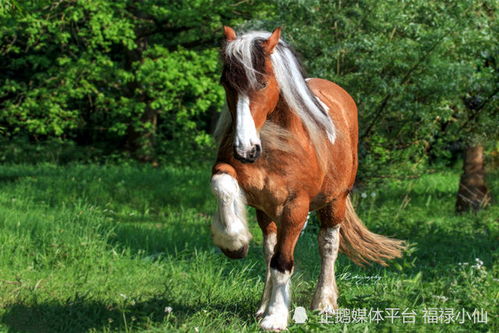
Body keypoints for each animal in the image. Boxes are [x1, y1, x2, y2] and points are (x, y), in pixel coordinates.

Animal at [211, 27, 406, 330]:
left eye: (263, 83)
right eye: (226, 83)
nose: (245, 150)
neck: (277, 145)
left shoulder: (296, 205)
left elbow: (283, 261)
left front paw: (276, 318)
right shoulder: (244, 185)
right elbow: (222, 185)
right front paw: (234, 243)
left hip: (336, 201)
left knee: (327, 245)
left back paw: (324, 304)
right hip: (267, 213)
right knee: (270, 248)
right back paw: (263, 306)